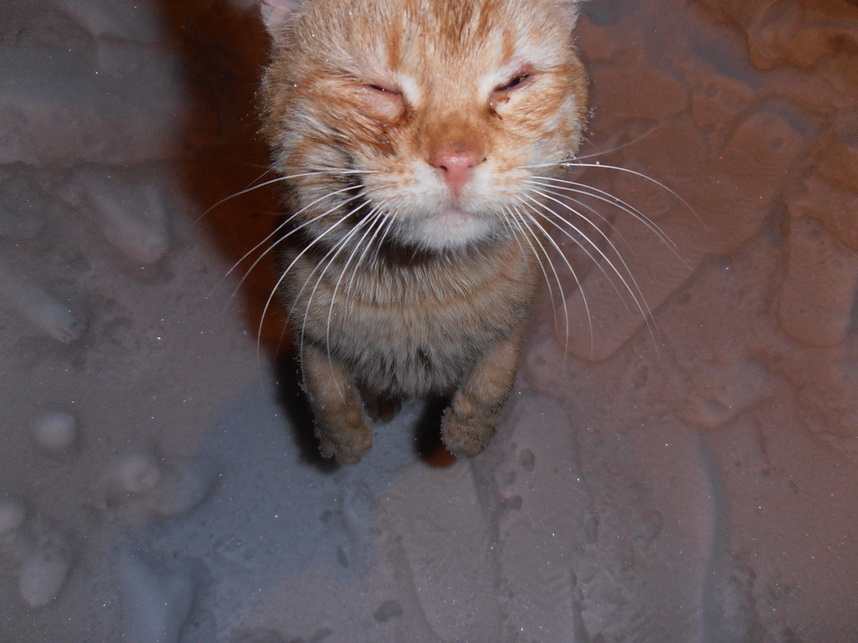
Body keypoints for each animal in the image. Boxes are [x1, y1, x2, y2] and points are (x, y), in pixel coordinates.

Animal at [258, 0, 588, 463]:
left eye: (514, 82)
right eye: (380, 88)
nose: (457, 160)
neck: (419, 288)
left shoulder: (516, 314)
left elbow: (493, 377)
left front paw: (467, 431)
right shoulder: (303, 314)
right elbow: (325, 388)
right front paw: (344, 438)